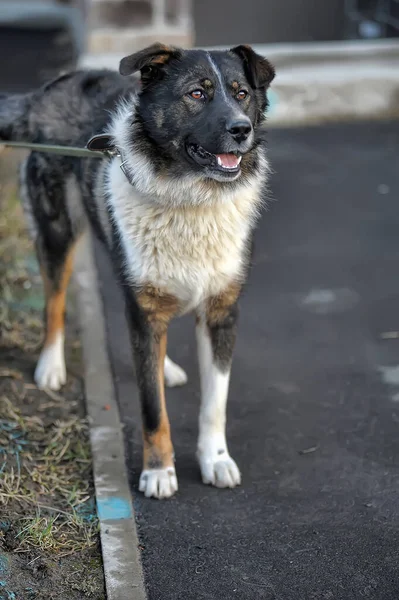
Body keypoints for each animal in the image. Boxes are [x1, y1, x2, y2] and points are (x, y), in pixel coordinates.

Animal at [0, 44, 276, 500]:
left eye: (241, 93)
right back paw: (51, 366)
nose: (241, 129)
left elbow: (214, 404)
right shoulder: (143, 312)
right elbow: (152, 409)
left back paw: (165, 367)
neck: (189, 197)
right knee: (54, 301)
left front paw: (215, 460)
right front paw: (159, 471)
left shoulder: (221, 313)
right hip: (58, 232)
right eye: (196, 94)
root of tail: (51, 88)